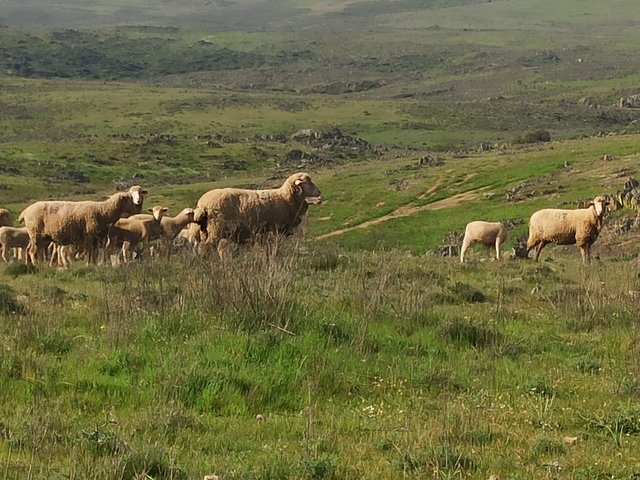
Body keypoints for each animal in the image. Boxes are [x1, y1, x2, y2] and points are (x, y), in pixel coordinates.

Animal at [17, 185, 149, 266]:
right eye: (130, 197)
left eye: (140, 194)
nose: (137, 203)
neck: (102, 211)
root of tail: (25, 211)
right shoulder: (89, 234)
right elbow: (89, 251)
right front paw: (88, 264)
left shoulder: (99, 237)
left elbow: (95, 252)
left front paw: (95, 264)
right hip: (36, 233)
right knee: (32, 251)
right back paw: (37, 265)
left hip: (35, 236)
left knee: (28, 250)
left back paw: (29, 265)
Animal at [194, 172, 324, 256]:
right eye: (308, 183)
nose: (319, 192)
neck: (285, 198)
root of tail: (202, 203)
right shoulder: (274, 230)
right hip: (215, 229)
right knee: (205, 247)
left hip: (206, 230)